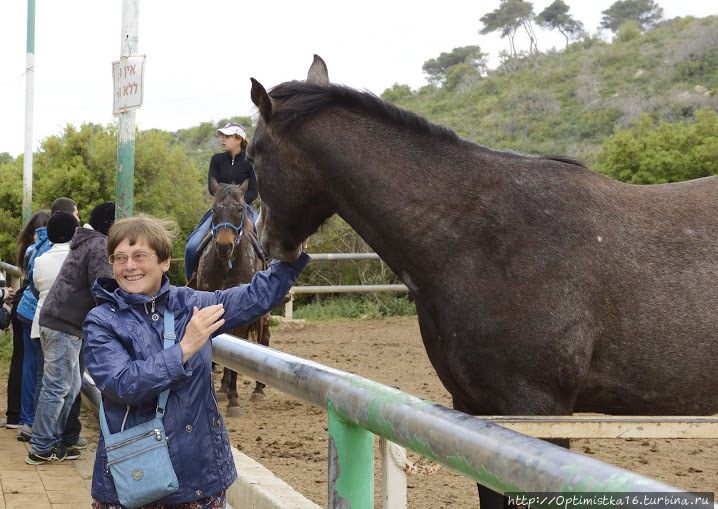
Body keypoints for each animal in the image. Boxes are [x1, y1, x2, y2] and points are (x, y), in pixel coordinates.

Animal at [194, 179, 270, 416]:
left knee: (264, 339)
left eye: (239, 210)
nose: (224, 246)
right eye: (214, 210)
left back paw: (258, 389)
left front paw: (234, 400)